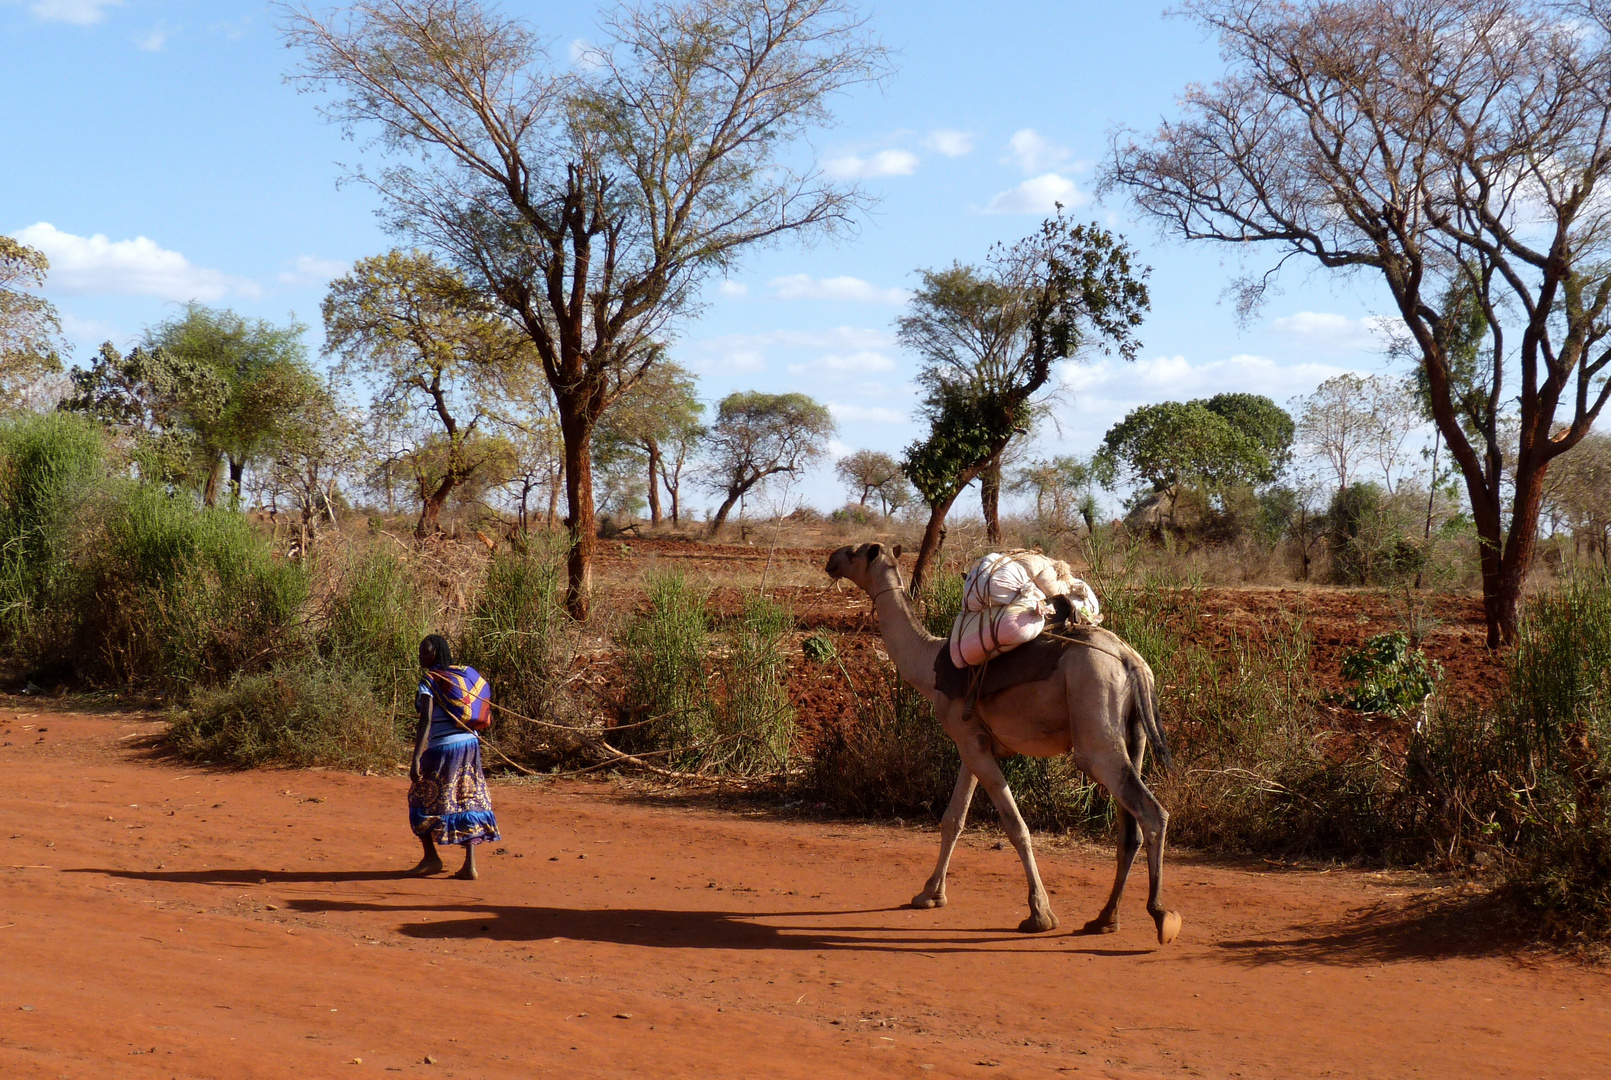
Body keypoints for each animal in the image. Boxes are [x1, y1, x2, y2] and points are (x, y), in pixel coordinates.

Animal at [831, 544, 1185, 941]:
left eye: (853, 552)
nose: (831, 561)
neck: (929, 666)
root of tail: (1131, 661)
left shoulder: (969, 741)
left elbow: (1016, 827)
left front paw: (1040, 915)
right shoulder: (971, 742)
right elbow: (953, 820)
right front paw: (929, 895)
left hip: (1095, 721)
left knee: (1149, 811)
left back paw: (1160, 915)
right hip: (1132, 733)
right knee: (1130, 828)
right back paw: (1104, 919)